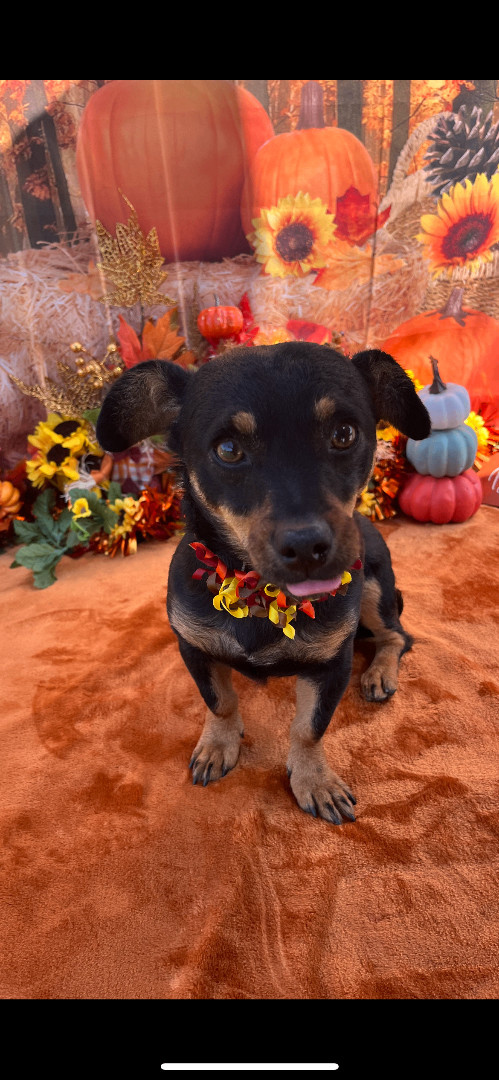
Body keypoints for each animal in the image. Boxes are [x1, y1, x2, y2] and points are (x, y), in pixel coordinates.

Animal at [96, 345, 429, 825]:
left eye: (344, 433)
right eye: (228, 449)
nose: (307, 546)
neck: (259, 594)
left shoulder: (333, 665)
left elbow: (308, 728)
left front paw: (314, 781)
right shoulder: (194, 649)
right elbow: (220, 702)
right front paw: (218, 744)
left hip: (375, 590)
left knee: (397, 636)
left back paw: (380, 673)